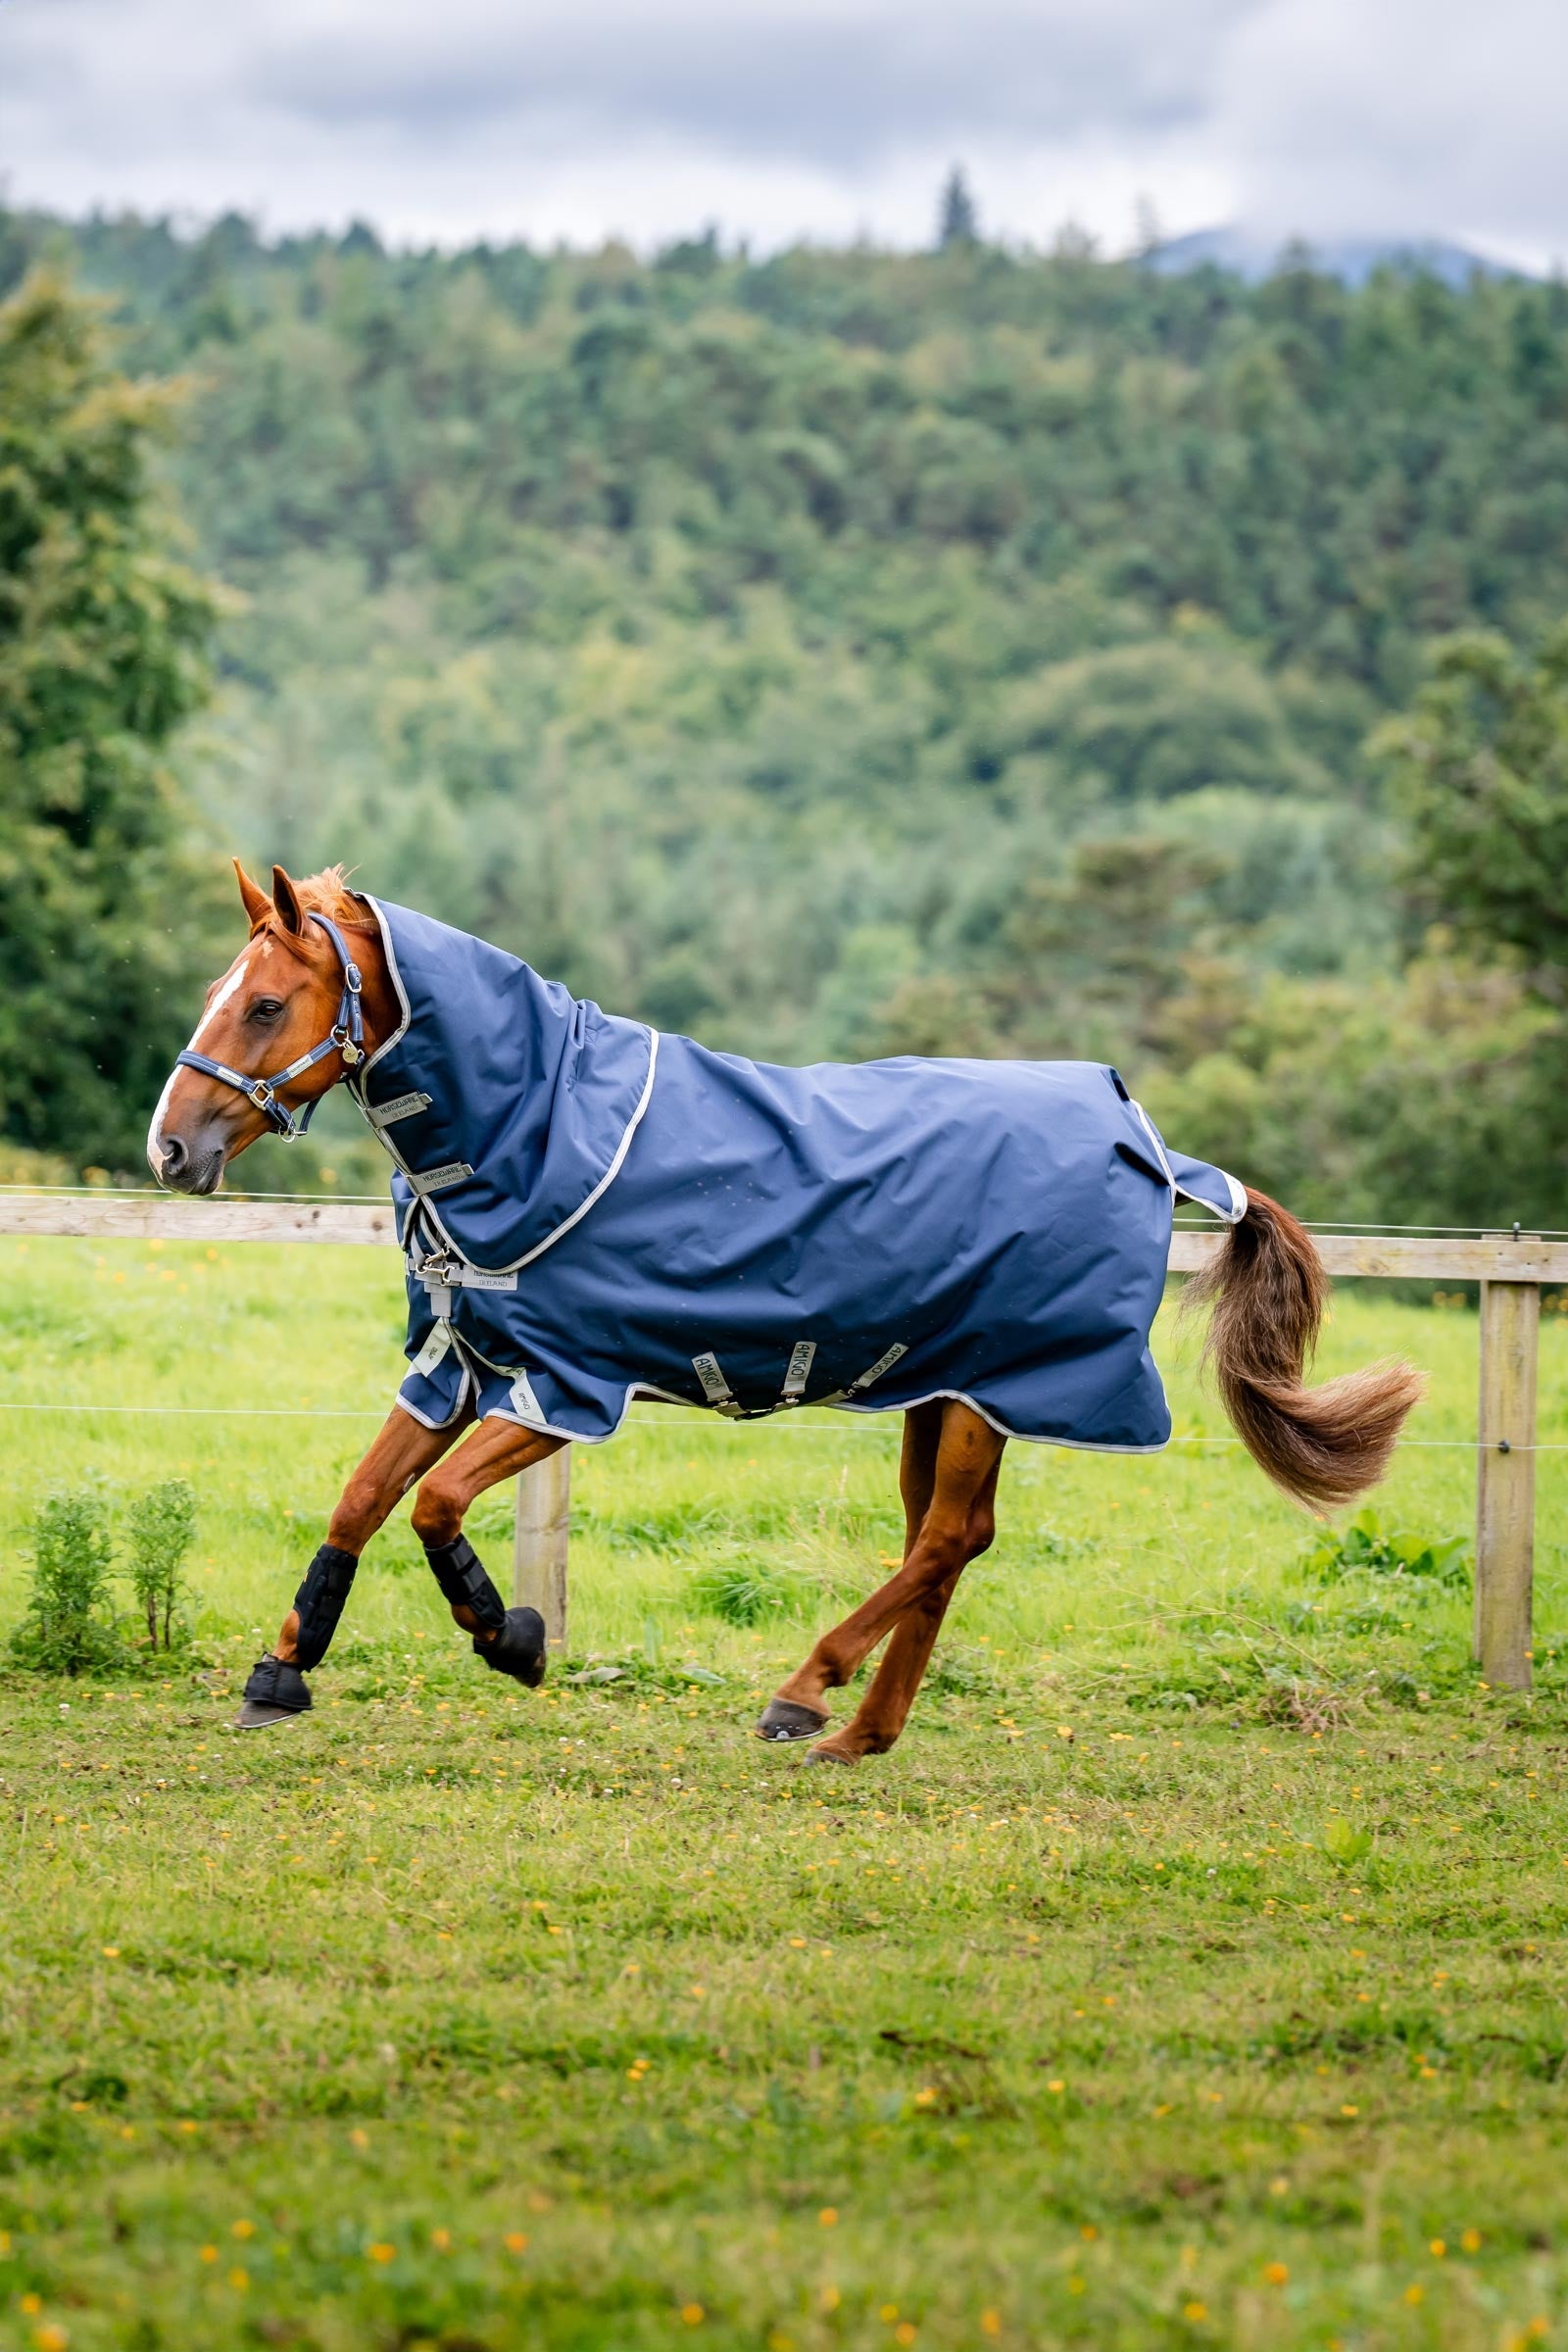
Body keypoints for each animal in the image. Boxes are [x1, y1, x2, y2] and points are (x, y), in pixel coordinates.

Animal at [149, 862, 1422, 1763]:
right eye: (216, 994)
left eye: (265, 1003)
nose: (172, 1148)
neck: (538, 1129)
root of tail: (1144, 1137)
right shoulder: (463, 1363)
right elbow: (363, 1498)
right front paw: (282, 1673)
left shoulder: (566, 1386)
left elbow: (435, 1506)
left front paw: (510, 1639)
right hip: (944, 1385)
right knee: (949, 1541)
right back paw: (862, 1733)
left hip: (993, 1389)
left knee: (945, 1540)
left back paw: (805, 1694)